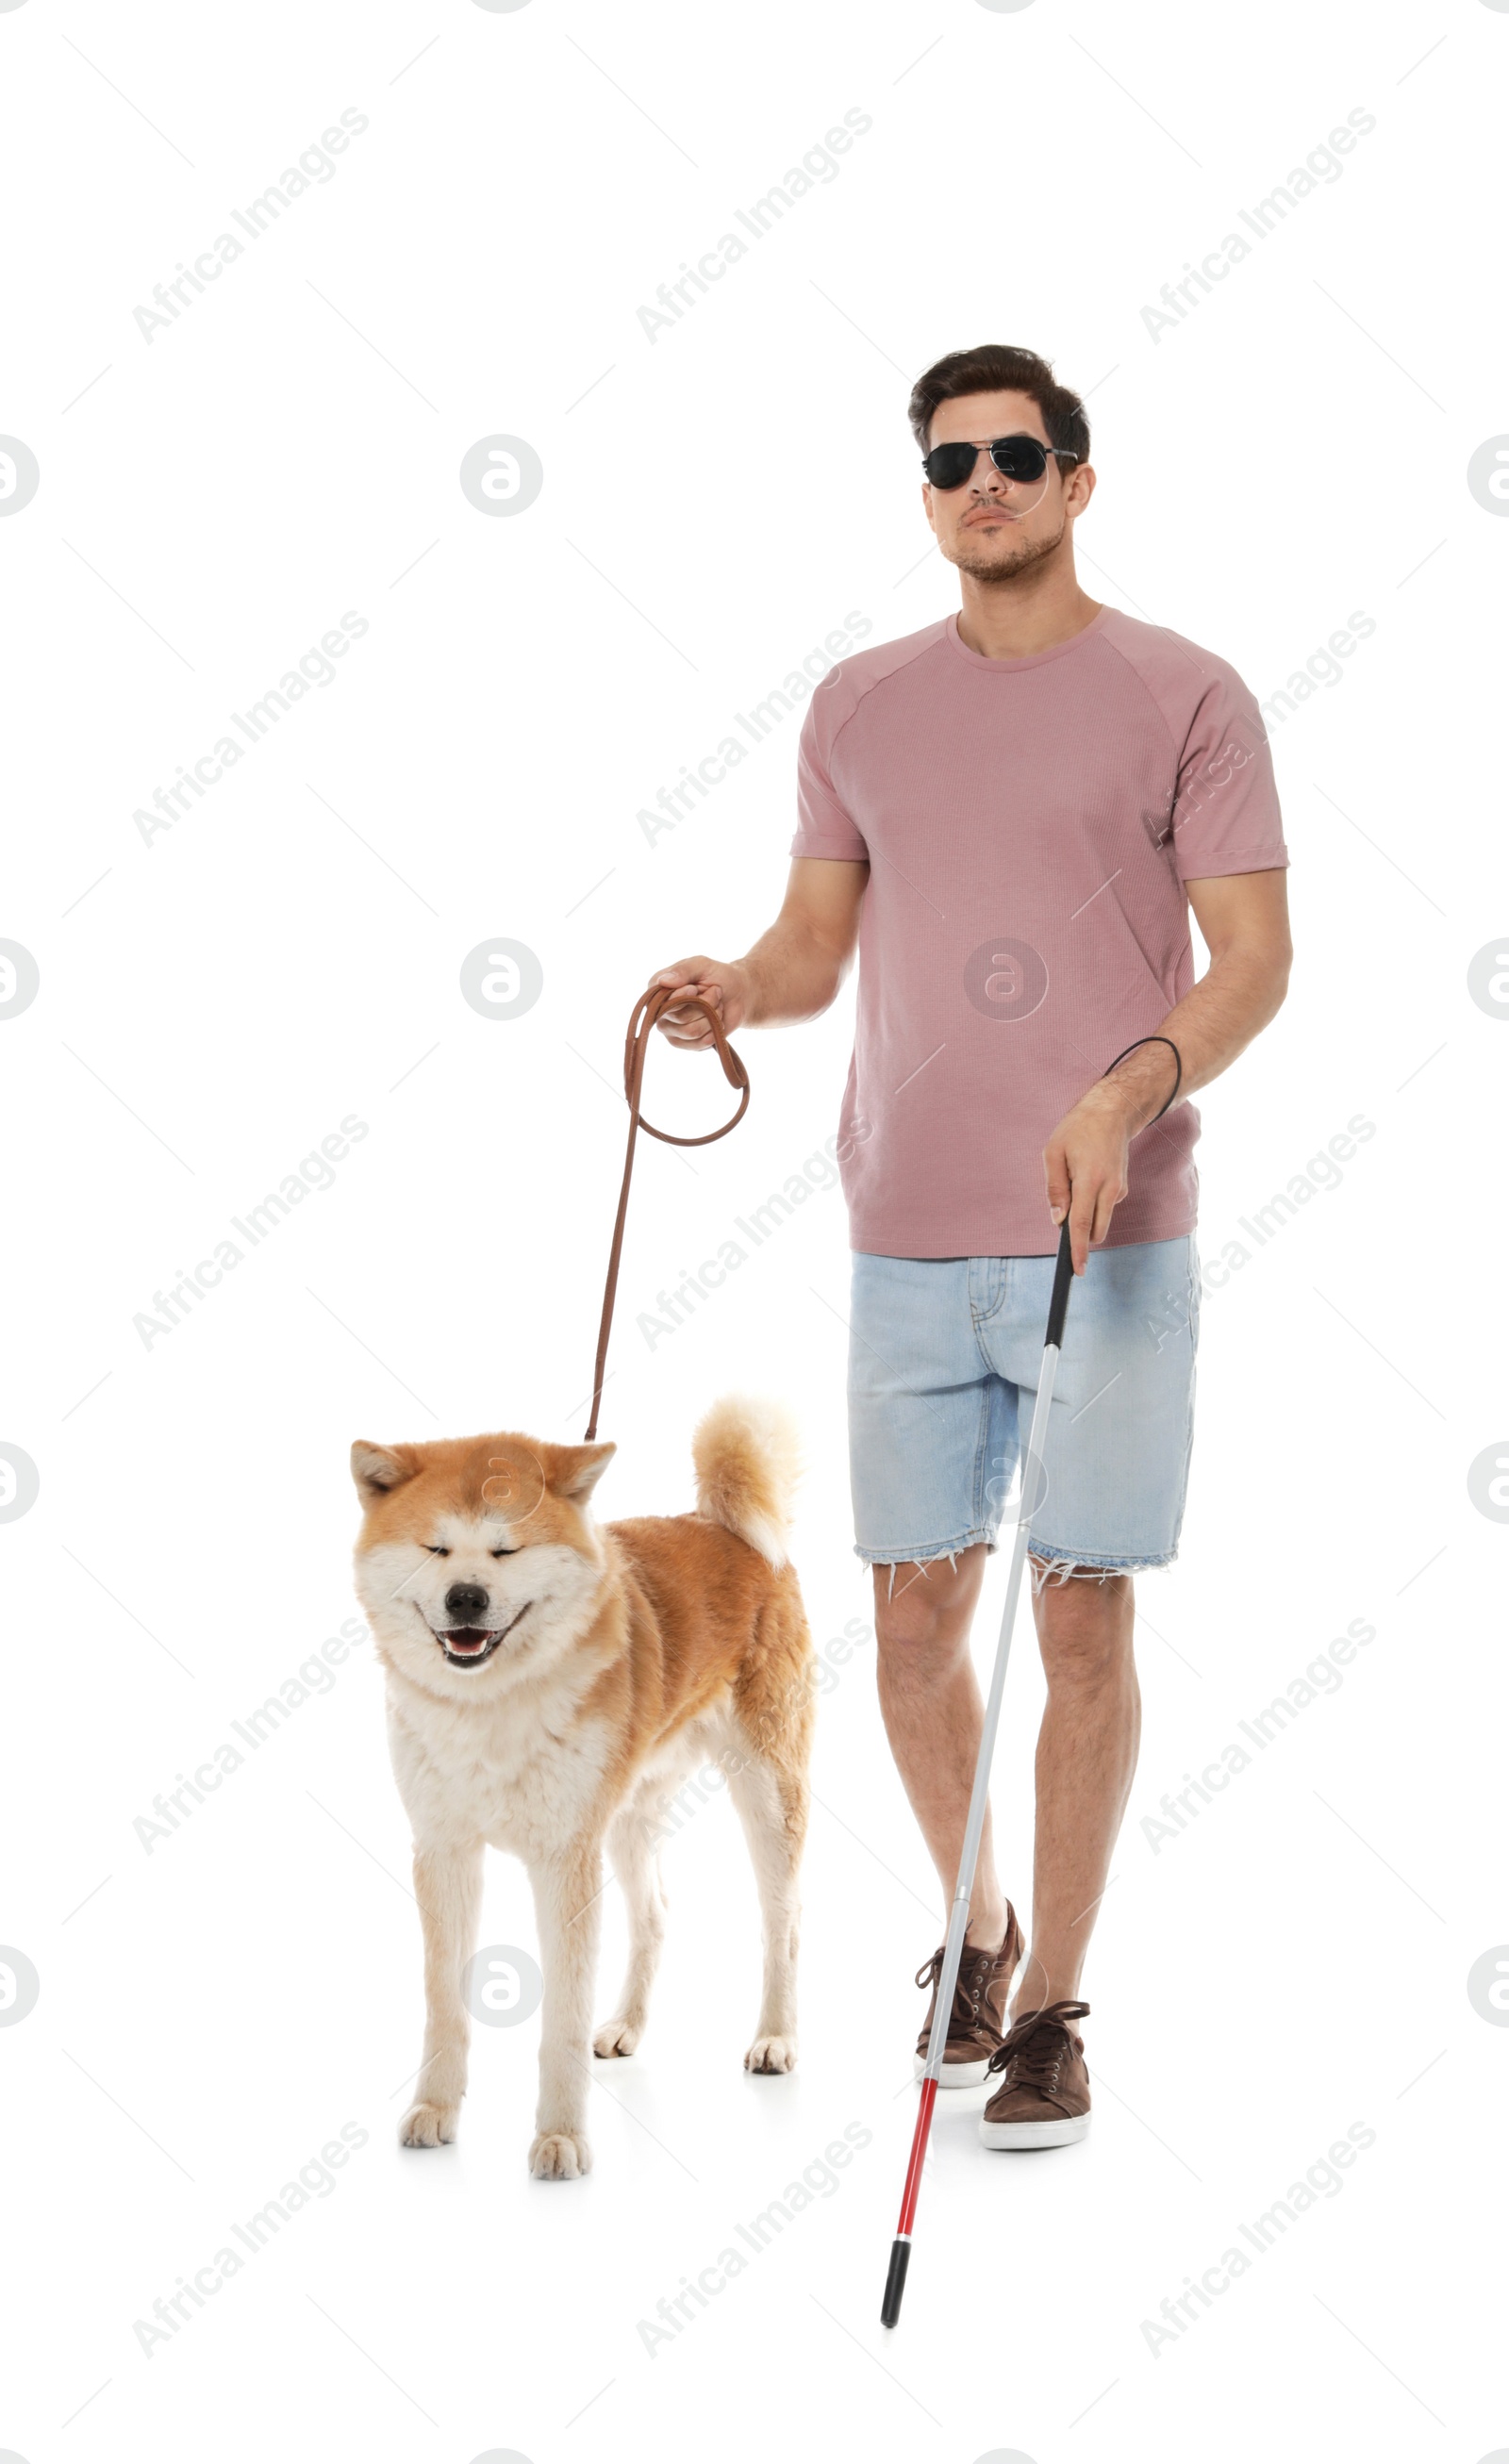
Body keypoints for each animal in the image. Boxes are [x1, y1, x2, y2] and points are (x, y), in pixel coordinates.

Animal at [350, 1399, 813, 2188]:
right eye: (436, 1548)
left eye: (506, 1551)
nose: (465, 1596)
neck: (490, 1708)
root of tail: (721, 1527)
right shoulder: (444, 1850)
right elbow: (445, 2001)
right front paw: (436, 2108)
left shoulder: (564, 1859)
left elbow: (560, 2018)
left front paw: (561, 2136)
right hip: (628, 1818)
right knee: (655, 1915)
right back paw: (627, 2026)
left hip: (766, 1794)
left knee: (781, 1926)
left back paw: (775, 2038)